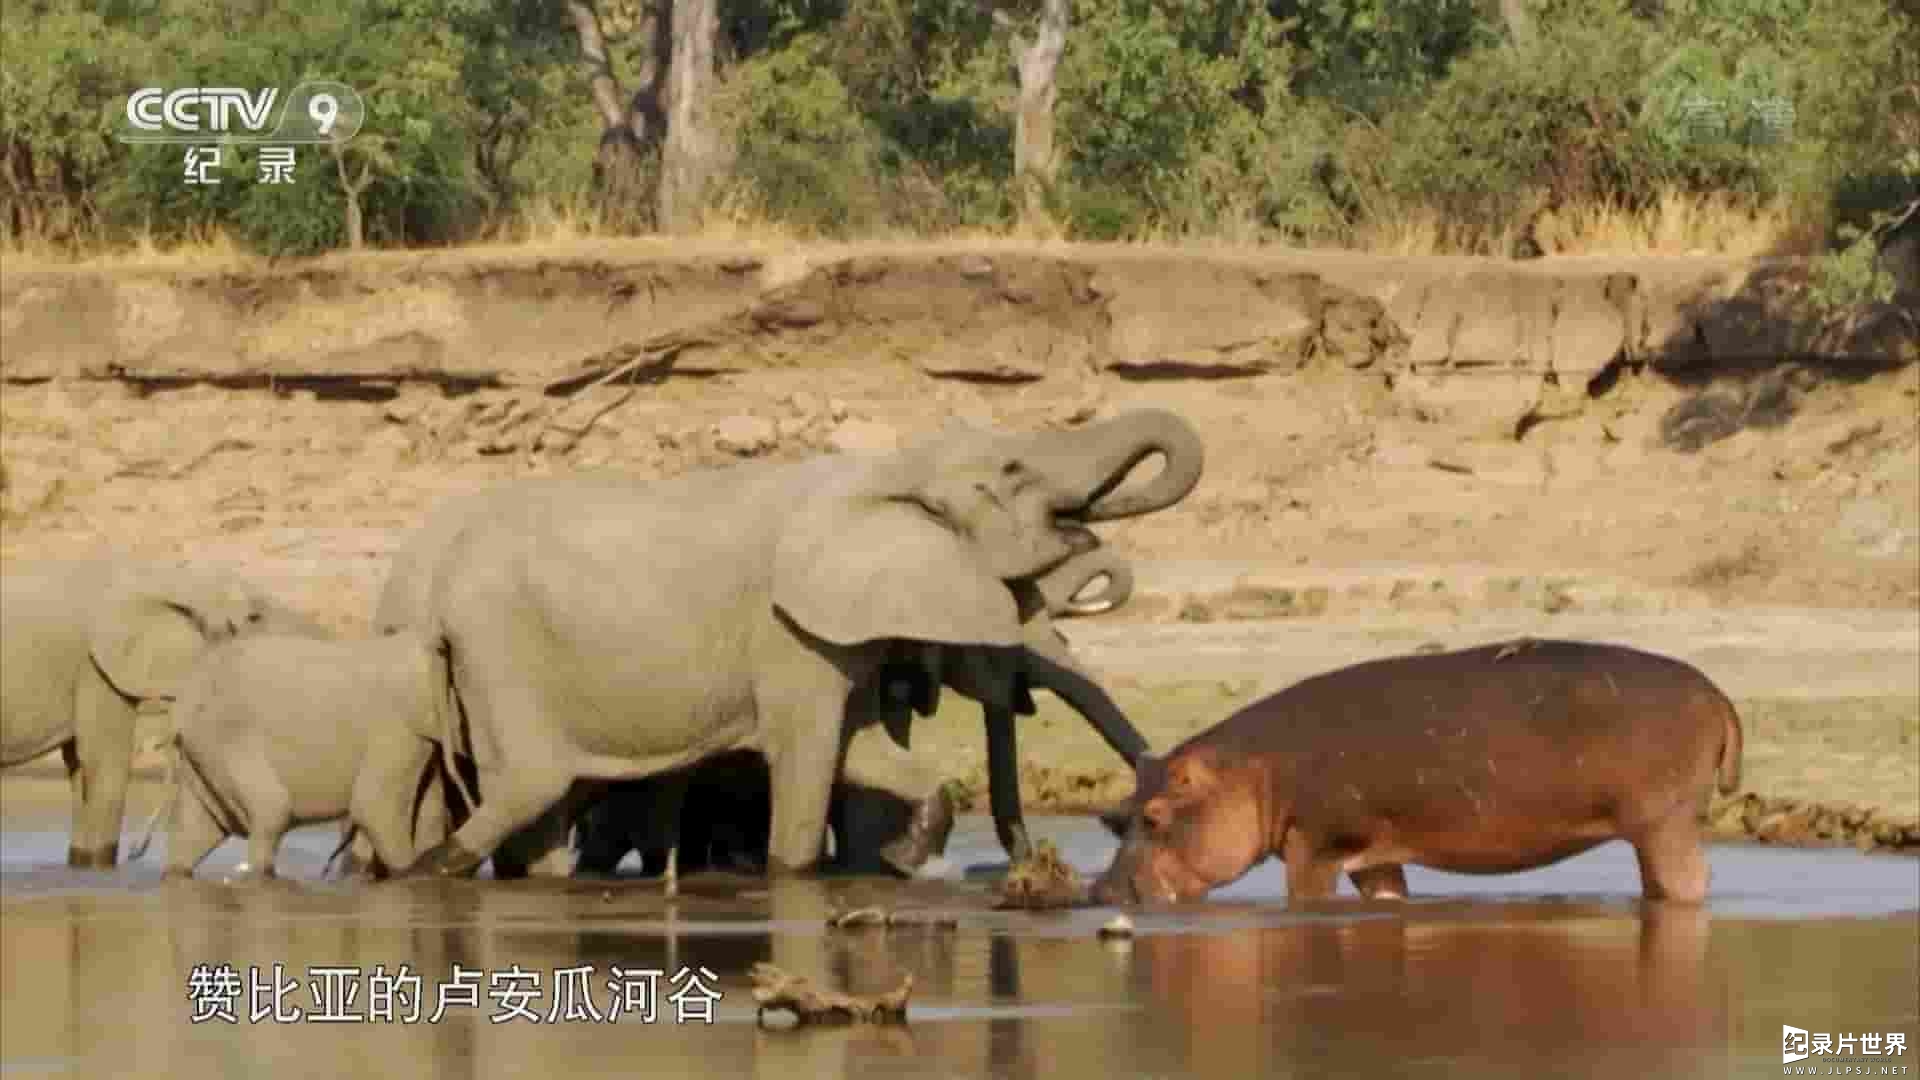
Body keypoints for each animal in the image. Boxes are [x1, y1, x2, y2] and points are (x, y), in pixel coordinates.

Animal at [0, 557, 322, 860]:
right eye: (255, 617)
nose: (136, 851)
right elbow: (105, 765)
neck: (171, 579)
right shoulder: (96, 667)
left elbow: (80, 769)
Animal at [132, 630, 460, 876]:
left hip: (203, 755)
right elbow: (374, 808)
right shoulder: (397, 727)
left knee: (195, 834)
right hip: (225, 742)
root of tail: (178, 710)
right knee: (271, 814)